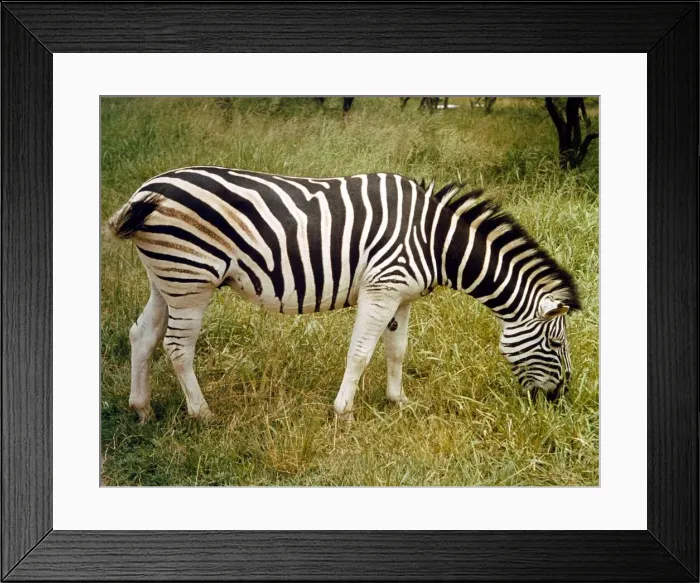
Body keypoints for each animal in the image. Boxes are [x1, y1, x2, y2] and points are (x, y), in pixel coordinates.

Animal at [106, 167, 580, 423]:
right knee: (177, 347)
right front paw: (344, 411)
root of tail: (146, 188)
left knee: (142, 336)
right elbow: (361, 352)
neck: (436, 241)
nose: (560, 399)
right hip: (191, 279)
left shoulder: (401, 295)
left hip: (167, 279)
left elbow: (396, 350)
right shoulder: (382, 286)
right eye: (555, 343)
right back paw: (202, 414)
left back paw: (142, 409)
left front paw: (398, 401)